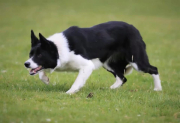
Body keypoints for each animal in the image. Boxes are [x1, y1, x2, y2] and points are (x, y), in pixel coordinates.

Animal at [23, 21, 162, 94]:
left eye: (40, 54)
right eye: (31, 54)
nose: (26, 64)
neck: (58, 48)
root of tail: (134, 28)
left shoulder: (87, 65)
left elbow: (77, 81)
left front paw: (69, 93)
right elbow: (40, 72)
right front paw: (46, 79)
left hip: (136, 61)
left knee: (154, 69)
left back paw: (158, 89)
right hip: (109, 64)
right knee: (122, 78)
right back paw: (111, 89)